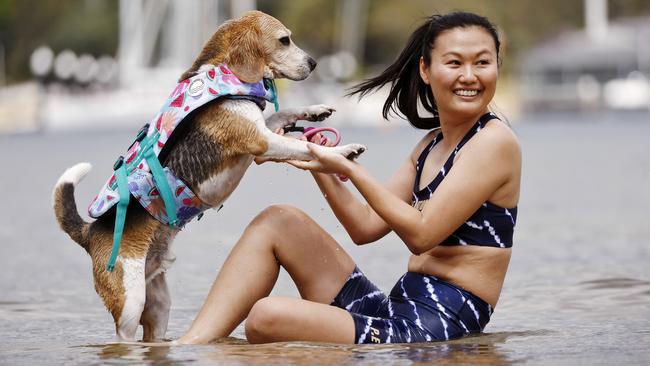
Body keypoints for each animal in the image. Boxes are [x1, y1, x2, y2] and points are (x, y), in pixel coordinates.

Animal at [50, 10, 364, 342]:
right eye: (284, 40)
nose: (314, 63)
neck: (225, 72)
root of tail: (89, 232)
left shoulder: (260, 137)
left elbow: (284, 113)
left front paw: (316, 110)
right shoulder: (263, 142)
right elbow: (303, 146)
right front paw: (343, 152)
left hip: (158, 304)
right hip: (130, 303)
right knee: (124, 336)